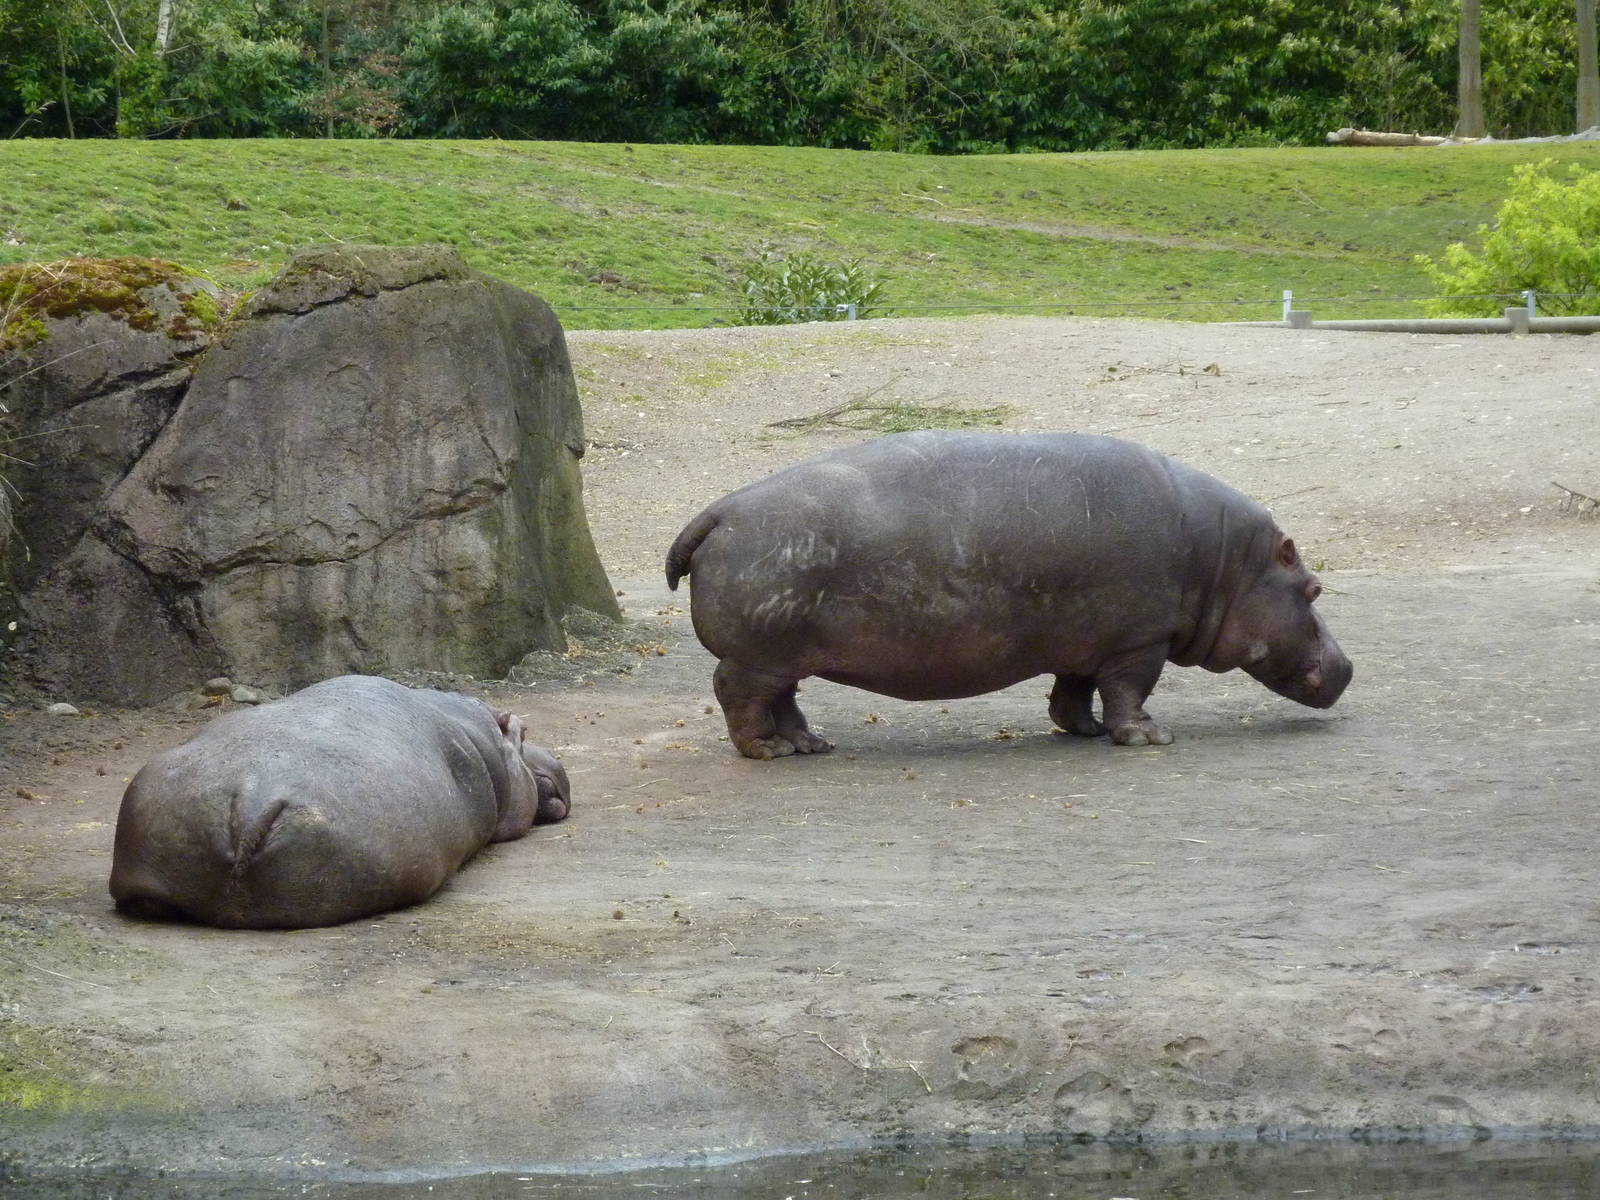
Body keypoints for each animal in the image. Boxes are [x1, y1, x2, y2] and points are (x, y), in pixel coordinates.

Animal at [665, 430, 1351, 759]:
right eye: (1314, 587)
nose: (1349, 666)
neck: (1227, 563)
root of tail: (719, 511)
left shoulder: (1088, 638)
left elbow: (1072, 692)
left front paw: (1086, 731)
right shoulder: (1139, 640)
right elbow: (1131, 691)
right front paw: (1148, 739)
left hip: (785, 655)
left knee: (784, 699)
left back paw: (811, 745)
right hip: (758, 655)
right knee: (738, 694)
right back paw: (767, 751)